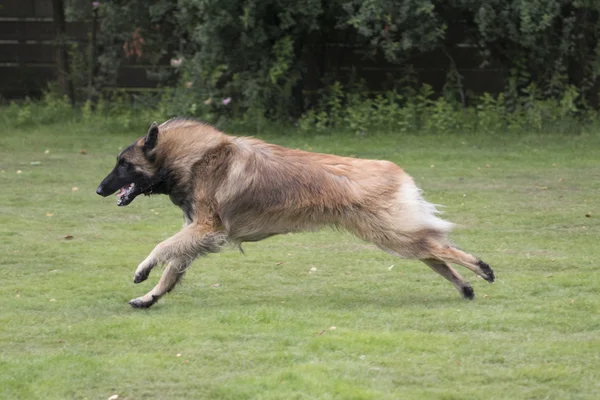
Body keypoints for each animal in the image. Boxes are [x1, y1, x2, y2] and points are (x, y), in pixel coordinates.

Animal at [96, 117, 494, 308]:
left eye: (124, 164)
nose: (99, 190)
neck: (193, 157)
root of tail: (395, 169)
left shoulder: (207, 229)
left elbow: (162, 248)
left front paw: (142, 270)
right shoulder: (197, 231)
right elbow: (173, 267)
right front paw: (149, 297)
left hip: (393, 234)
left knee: (443, 248)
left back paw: (481, 268)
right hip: (396, 237)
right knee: (435, 253)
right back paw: (465, 286)